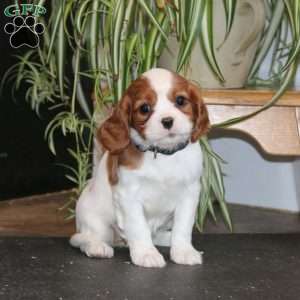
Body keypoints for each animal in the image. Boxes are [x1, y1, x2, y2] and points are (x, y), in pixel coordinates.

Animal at [69, 69, 210, 268]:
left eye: (180, 100)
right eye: (144, 108)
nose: (167, 121)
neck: (162, 154)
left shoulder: (190, 193)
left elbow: (183, 227)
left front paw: (183, 251)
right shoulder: (129, 197)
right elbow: (138, 227)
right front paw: (146, 254)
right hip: (96, 223)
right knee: (82, 238)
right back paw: (97, 247)